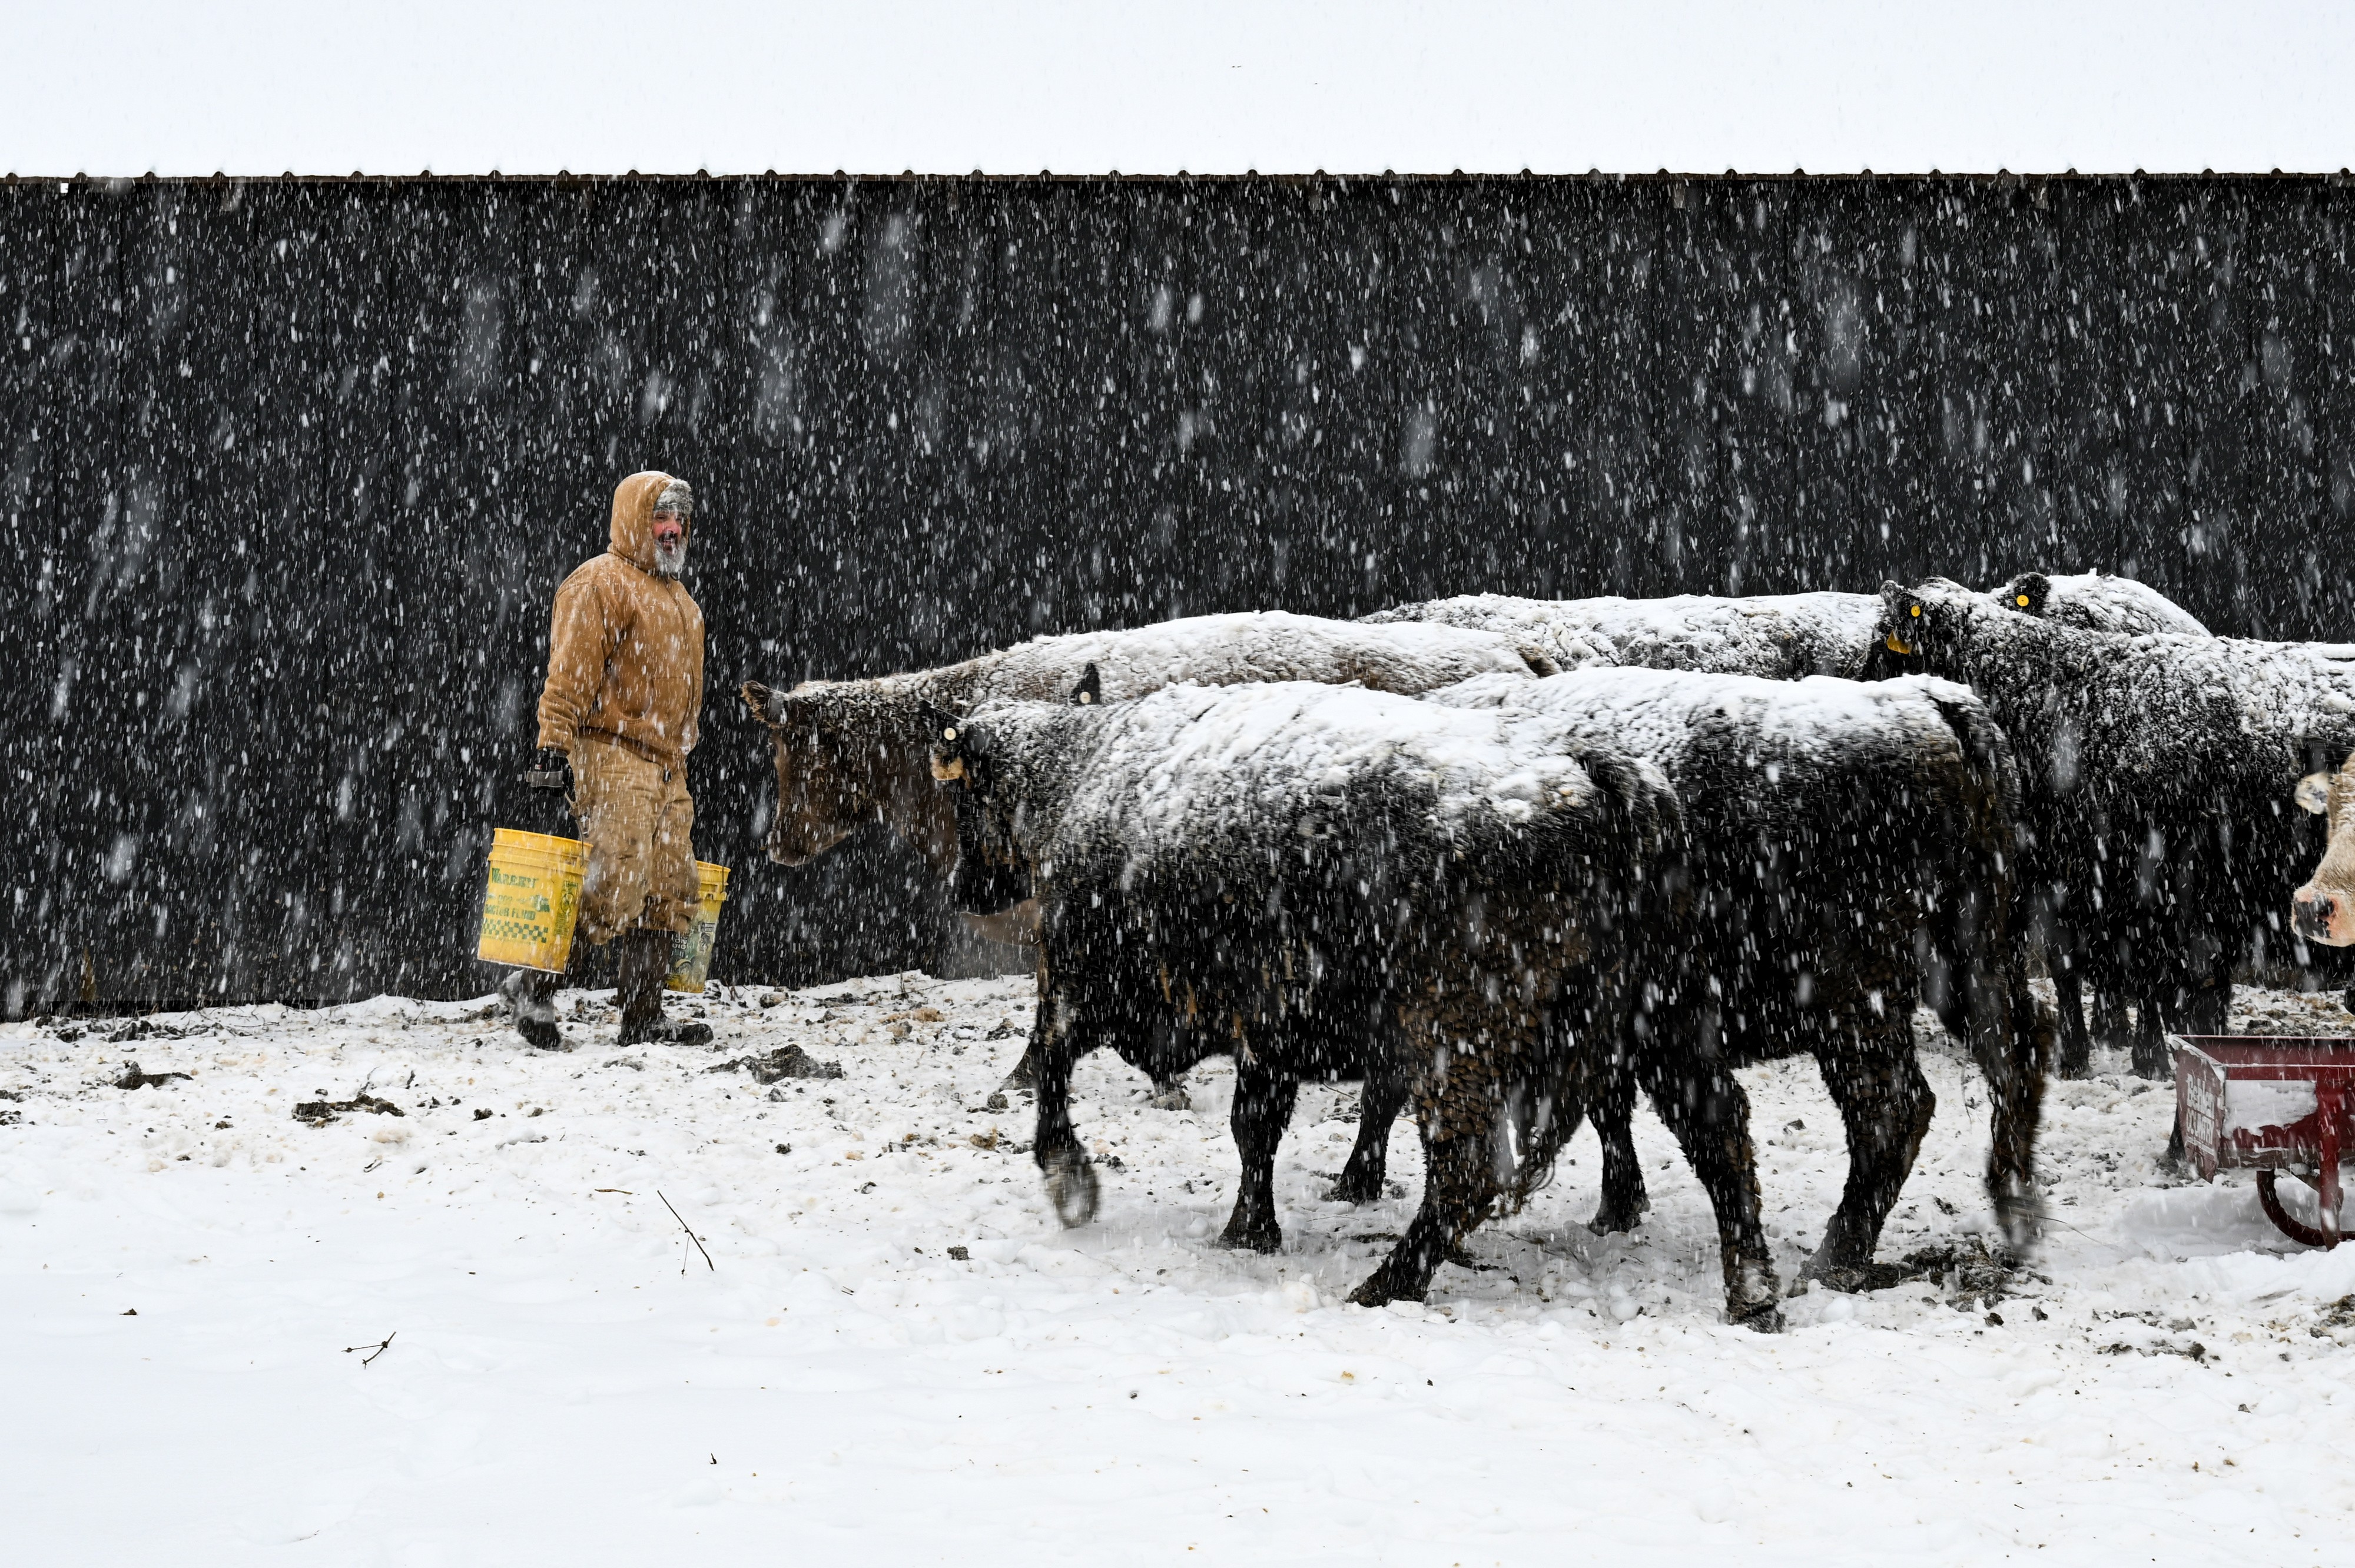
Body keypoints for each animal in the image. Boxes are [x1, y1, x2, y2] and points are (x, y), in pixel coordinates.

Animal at [925, 679, 1786, 1326]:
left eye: (967, 803)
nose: (960, 887)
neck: (1084, 770)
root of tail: (1591, 771)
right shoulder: (1267, 1035)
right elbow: (1254, 1129)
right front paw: (1250, 1229)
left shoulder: (1086, 987)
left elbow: (1050, 1073)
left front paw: (1071, 1182)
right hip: (1670, 1026)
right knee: (1721, 1138)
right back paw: (1752, 1298)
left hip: (1457, 1048)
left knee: (1467, 1173)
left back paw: (1386, 1284)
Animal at [1428, 666, 2048, 1288]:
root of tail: (1928, 700)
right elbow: (1610, 1107)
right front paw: (1617, 1210)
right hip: (1969, 964)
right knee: (2017, 1053)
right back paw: (2016, 1215)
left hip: (1853, 1004)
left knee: (1892, 1110)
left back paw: (1833, 1261)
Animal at [1877, 578, 2355, 1082]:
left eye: (1887, 648)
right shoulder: (2060, 881)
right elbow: (2068, 969)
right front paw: (2075, 1054)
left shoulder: (2151, 883)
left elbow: (2150, 975)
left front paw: (2151, 1055)